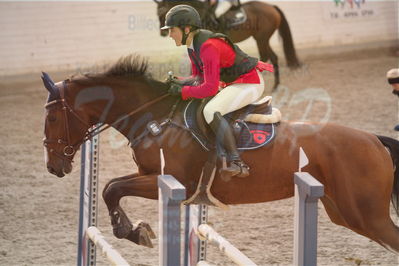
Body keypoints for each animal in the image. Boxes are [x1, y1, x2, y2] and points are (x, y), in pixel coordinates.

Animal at [42, 55, 398, 254]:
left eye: (53, 118)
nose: (53, 166)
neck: (155, 117)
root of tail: (374, 141)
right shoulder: (152, 176)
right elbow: (109, 187)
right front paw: (134, 230)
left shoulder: (173, 182)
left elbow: (113, 188)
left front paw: (132, 231)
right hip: (343, 212)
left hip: (367, 215)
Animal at [155, 0, 302, 90]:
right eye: (157, 14)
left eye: (162, 13)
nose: (163, 33)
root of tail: (272, 7)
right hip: (261, 38)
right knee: (273, 57)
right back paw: (275, 86)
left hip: (262, 38)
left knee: (265, 56)